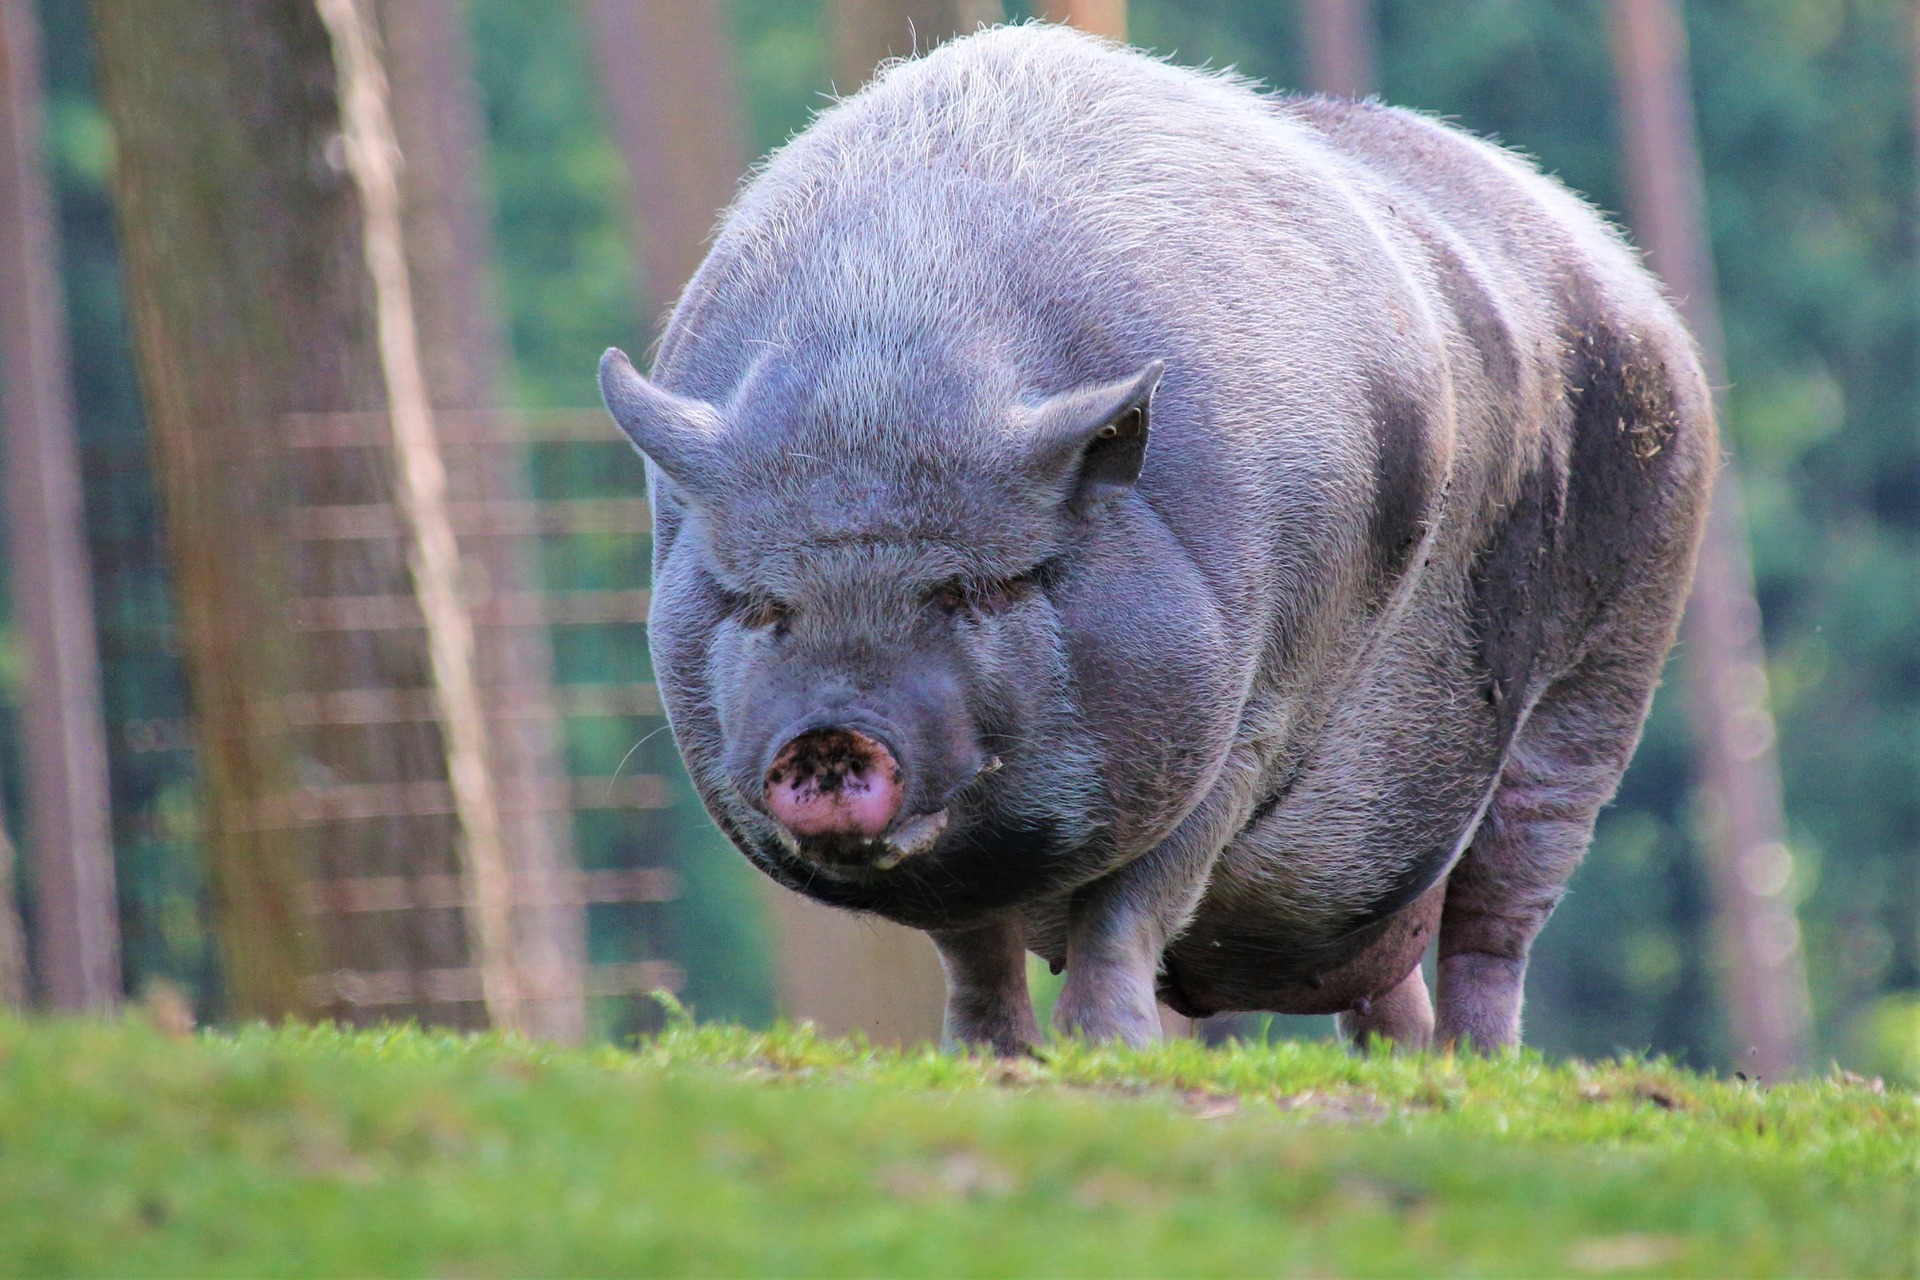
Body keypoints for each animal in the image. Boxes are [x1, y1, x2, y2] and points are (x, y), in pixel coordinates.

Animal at [598, 24, 1714, 1055]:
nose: (832, 731)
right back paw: (1402, 1070)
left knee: (1500, 908)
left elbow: (1134, 899)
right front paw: (989, 1057)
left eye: (974, 590)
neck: (890, 348)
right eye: (763, 606)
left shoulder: (1254, 718)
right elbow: (972, 943)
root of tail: (1643, 290)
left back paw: (1475, 1071)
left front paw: (1110, 1050)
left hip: (1610, 662)